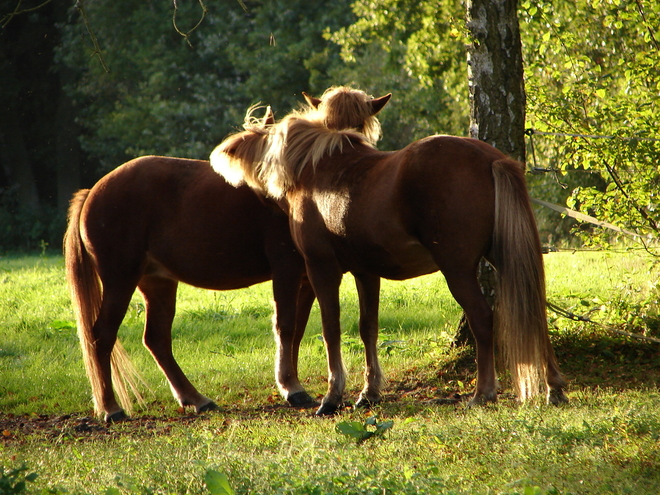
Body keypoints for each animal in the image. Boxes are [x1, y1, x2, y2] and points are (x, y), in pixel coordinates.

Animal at [63, 107, 318, 422]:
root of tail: (92, 192)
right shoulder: (286, 270)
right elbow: (286, 327)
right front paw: (291, 388)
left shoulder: (308, 279)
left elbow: (297, 331)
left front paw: (292, 384)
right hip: (120, 280)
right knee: (102, 335)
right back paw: (111, 408)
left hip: (157, 283)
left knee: (156, 339)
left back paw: (195, 398)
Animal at [211, 87, 568, 416]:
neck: (319, 169)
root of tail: (492, 158)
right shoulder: (366, 272)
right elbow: (368, 328)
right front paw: (368, 393)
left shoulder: (321, 268)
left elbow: (331, 328)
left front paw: (332, 397)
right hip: (503, 259)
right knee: (535, 310)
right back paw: (554, 388)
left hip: (457, 269)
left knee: (482, 318)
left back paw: (484, 392)